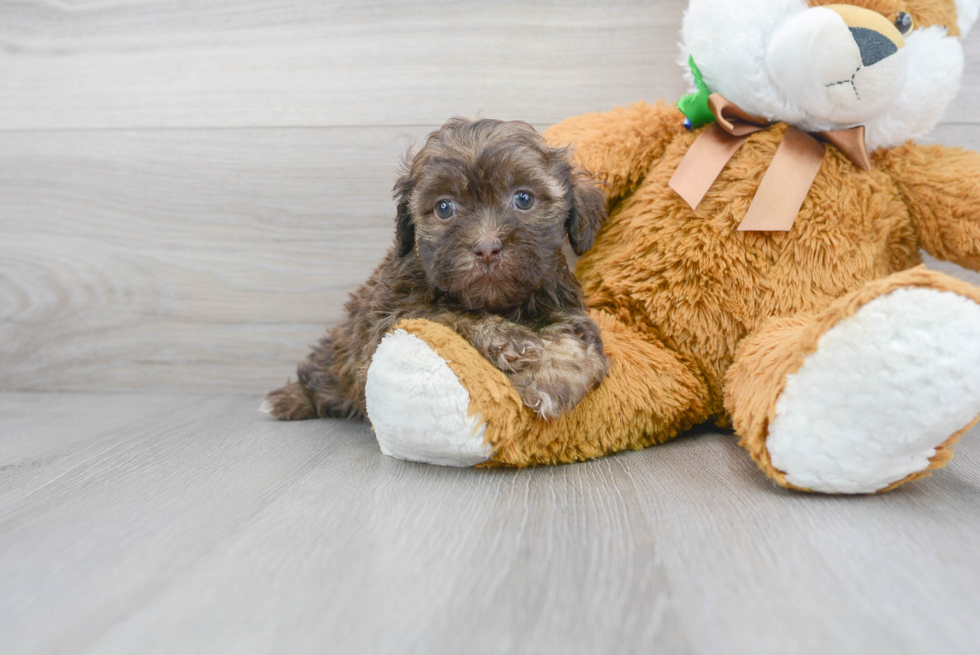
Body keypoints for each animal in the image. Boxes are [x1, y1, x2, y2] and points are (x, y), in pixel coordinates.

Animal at [264, 117, 608, 422]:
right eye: (444, 207)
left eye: (523, 198)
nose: (486, 248)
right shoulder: (385, 321)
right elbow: (446, 315)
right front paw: (508, 339)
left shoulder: (561, 301)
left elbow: (572, 335)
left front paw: (553, 375)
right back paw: (290, 399)